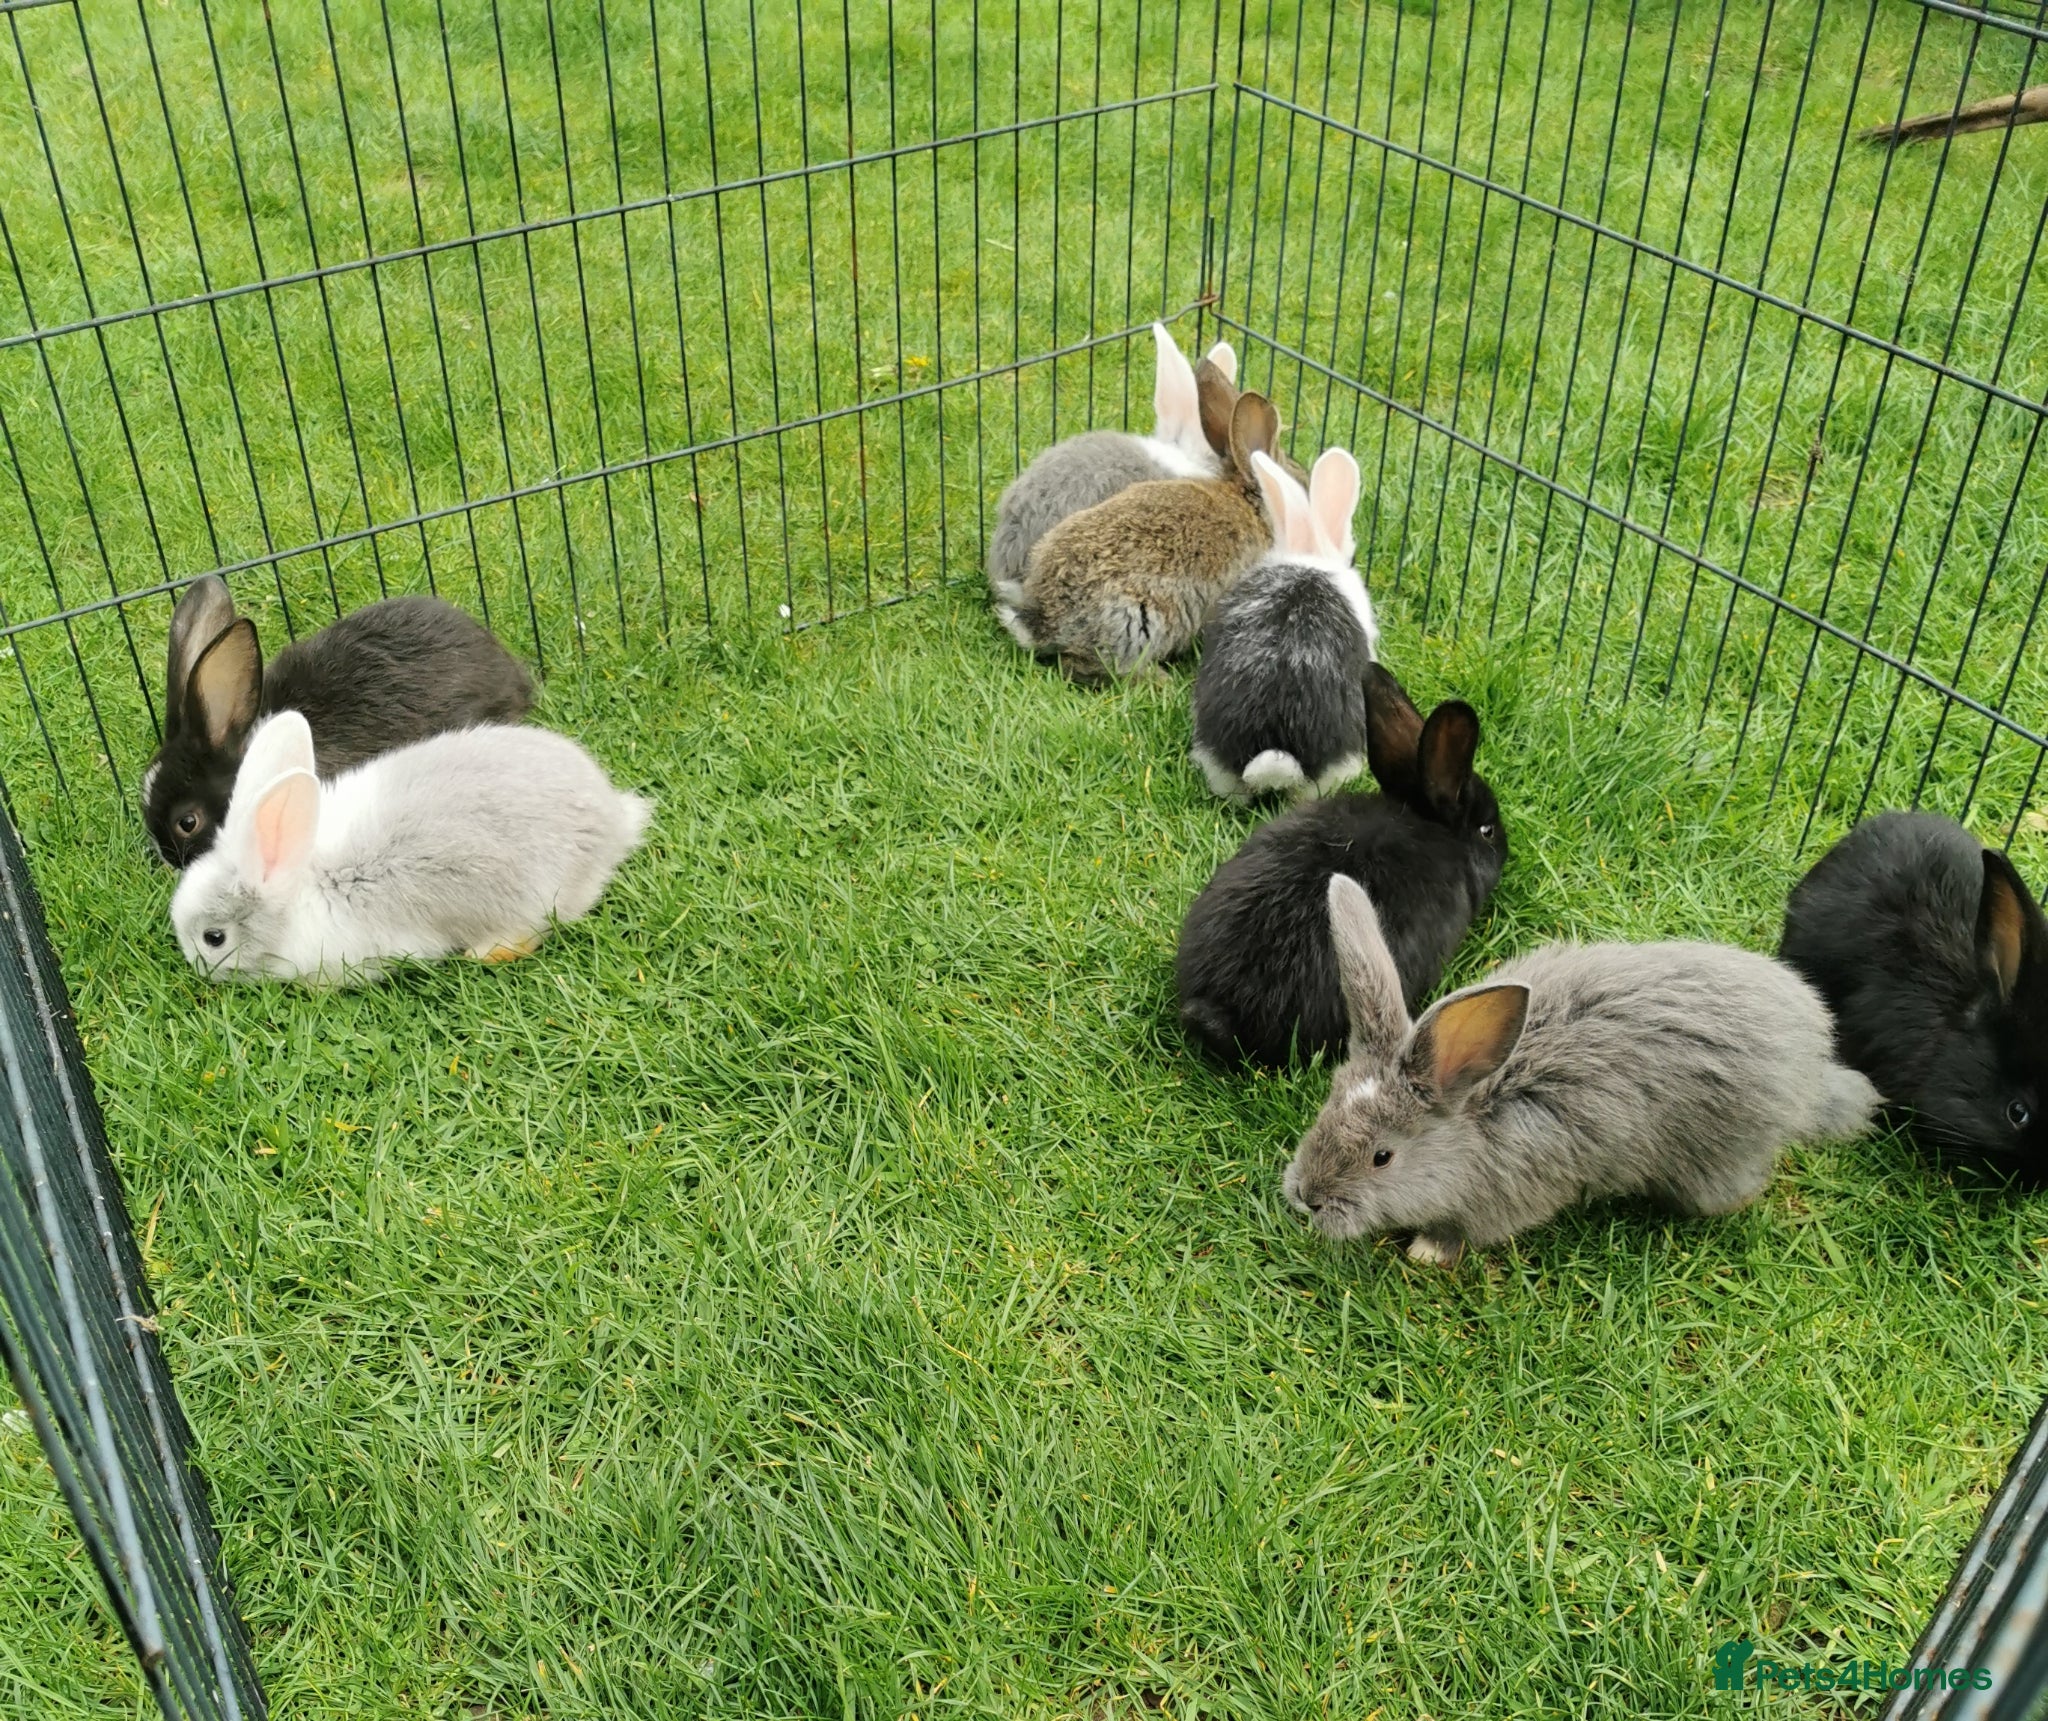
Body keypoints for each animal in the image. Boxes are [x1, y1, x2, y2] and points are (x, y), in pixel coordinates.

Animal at [1283, 875, 1883, 1268]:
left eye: (1383, 1157)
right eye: (1325, 1107)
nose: (1307, 1198)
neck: (1478, 1115)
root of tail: (1809, 1064)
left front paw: (1428, 1251)